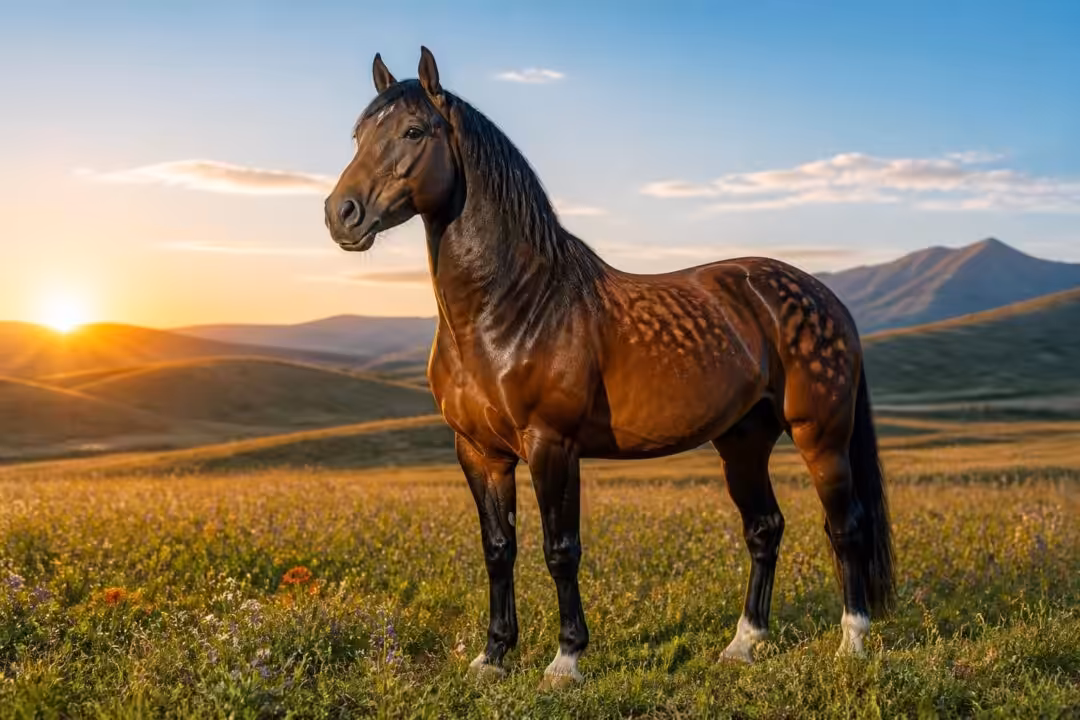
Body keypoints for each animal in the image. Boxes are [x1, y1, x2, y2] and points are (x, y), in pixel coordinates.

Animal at [324, 47, 894, 687]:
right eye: (359, 134)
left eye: (414, 131)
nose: (341, 214)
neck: (511, 306)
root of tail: (825, 296)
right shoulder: (477, 451)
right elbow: (498, 549)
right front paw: (493, 656)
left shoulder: (552, 444)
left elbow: (560, 550)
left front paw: (566, 659)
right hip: (743, 442)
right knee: (764, 529)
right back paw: (743, 644)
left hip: (822, 436)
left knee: (846, 528)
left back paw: (852, 643)